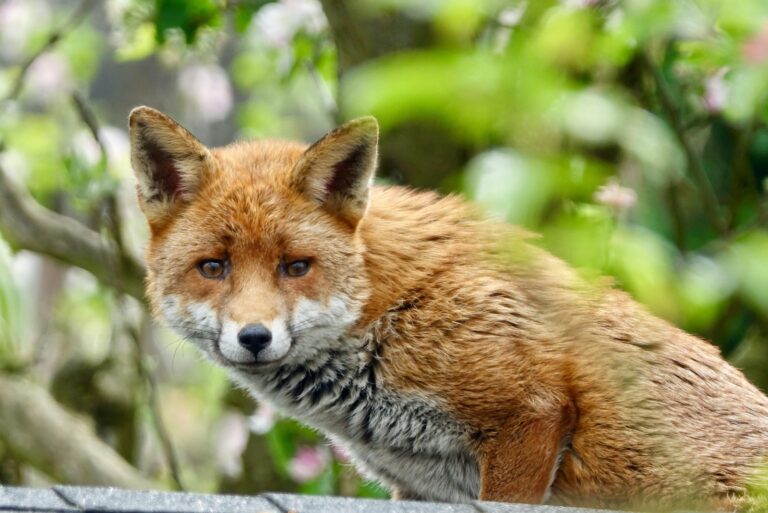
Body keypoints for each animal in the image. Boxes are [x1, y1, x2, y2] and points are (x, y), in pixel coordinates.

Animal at [128, 106, 768, 512]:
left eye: (296, 266)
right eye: (214, 267)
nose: (255, 337)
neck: (388, 312)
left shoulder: (530, 412)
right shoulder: (422, 489)